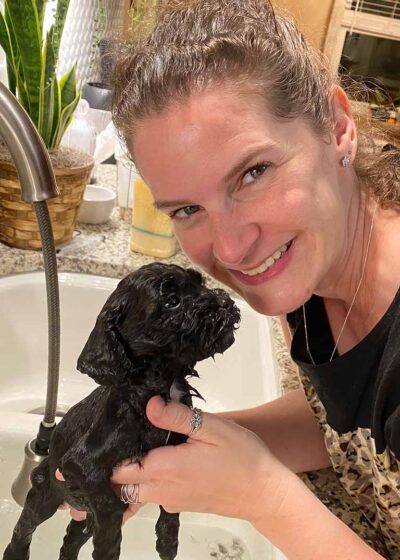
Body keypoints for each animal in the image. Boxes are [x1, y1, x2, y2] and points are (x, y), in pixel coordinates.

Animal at [3, 264, 239, 560]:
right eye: (171, 301)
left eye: (200, 283)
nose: (226, 302)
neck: (160, 384)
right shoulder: (81, 465)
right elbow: (110, 509)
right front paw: (109, 548)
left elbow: (171, 506)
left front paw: (167, 541)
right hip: (45, 493)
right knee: (26, 526)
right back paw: (15, 552)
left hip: (78, 516)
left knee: (71, 539)